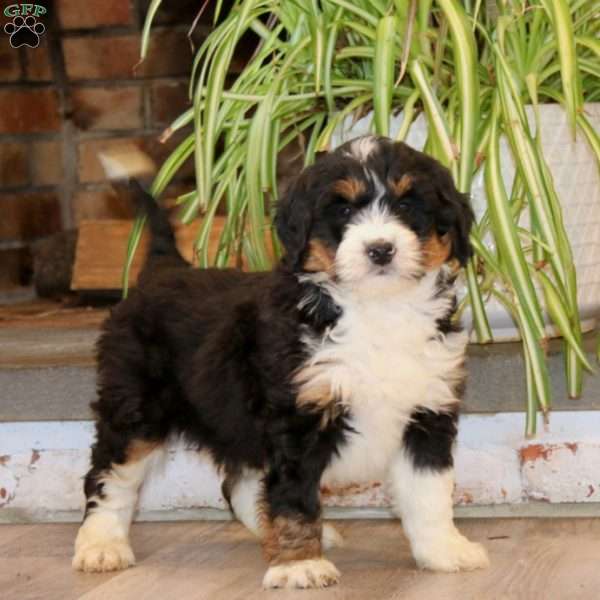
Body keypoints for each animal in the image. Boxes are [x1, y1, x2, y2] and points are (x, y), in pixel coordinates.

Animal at [72, 135, 490, 584]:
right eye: (343, 209)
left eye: (408, 205)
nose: (380, 249)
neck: (376, 309)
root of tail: (164, 268)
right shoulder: (296, 419)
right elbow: (294, 497)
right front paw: (300, 564)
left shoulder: (427, 412)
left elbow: (429, 493)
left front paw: (444, 550)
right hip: (136, 408)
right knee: (109, 476)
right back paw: (101, 546)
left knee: (238, 486)